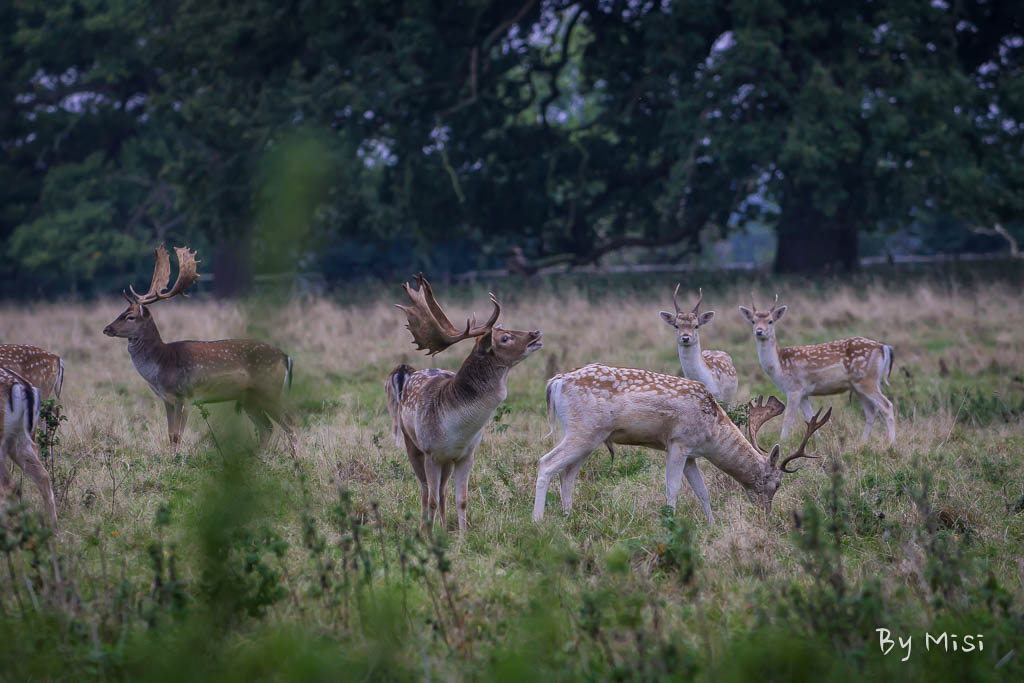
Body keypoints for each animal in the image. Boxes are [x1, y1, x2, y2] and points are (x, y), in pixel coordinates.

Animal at [102, 245, 296, 454]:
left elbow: (178, 435)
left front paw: (177, 460)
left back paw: (296, 460)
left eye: (130, 317)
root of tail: (286, 357)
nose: (107, 328)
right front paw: (171, 459)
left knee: (289, 423)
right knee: (267, 427)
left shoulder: (185, 395)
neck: (162, 364)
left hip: (269, 390)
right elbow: (170, 434)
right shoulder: (166, 399)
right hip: (250, 398)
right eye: (121, 312)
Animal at [385, 274, 544, 532]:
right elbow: (430, 498)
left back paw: (442, 527)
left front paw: (461, 535)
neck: (454, 428)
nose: (535, 333)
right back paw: (424, 526)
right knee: (425, 490)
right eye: (504, 337)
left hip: (446, 462)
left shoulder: (466, 454)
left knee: (442, 492)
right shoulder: (430, 452)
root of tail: (412, 374)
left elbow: (462, 499)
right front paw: (427, 535)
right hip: (412, 443)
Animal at [532, 362, 827, 524]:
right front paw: (669, 522)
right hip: (583, 430)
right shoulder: (678, 442)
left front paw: (712, 524)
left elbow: (702, 491)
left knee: (567, 473)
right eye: (776, 484)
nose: (766, 514)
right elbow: (673, 487)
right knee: (546, 462)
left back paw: (568, 516)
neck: (711, 432)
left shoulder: (692, 454)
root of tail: (554, 382)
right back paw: (537, 520)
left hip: (589, 436)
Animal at [737, 294, 897, 444]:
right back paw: (862, 443)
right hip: (858, 386)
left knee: (887, 405)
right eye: (753, 321)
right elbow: (810, 416)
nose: (759, 331)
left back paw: (891, 443)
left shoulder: (794, 389)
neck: (779, 365)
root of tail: (883, 347)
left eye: (770, 321)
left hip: (867, 379)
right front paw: (817, 442)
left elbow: (788, 419)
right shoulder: (803, 393)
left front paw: (782, 442)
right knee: (871, 412)